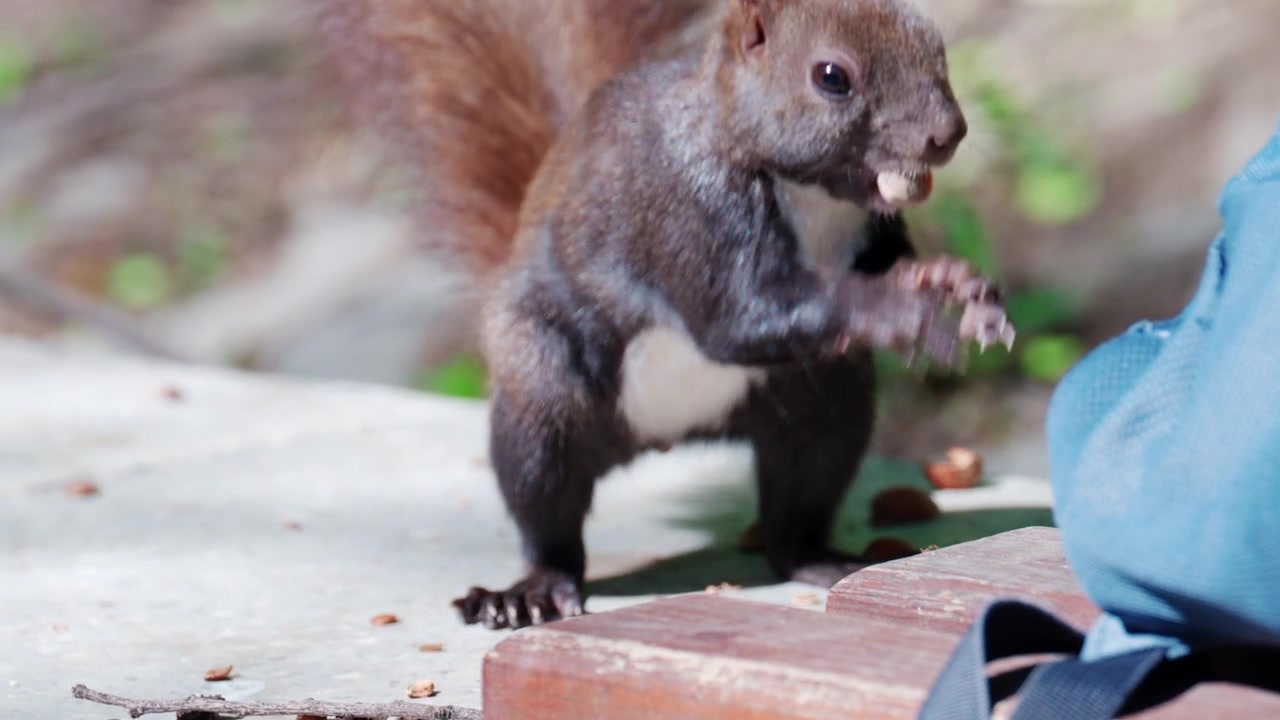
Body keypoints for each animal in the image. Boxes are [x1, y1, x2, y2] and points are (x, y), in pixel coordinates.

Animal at [313, 0, 1015, 631]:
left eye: (938, 48)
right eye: (831, 76)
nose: (947, 133)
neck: (815, 199)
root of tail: (663, 434)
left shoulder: (874, 229)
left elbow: (879, 264)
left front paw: (952, 282)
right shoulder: (686, 210)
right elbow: (737, 315)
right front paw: (904, 307)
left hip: (824, 404)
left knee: (797, 504)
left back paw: (821, 559)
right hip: (544, 395)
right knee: (547, 510)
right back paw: (532, 591)